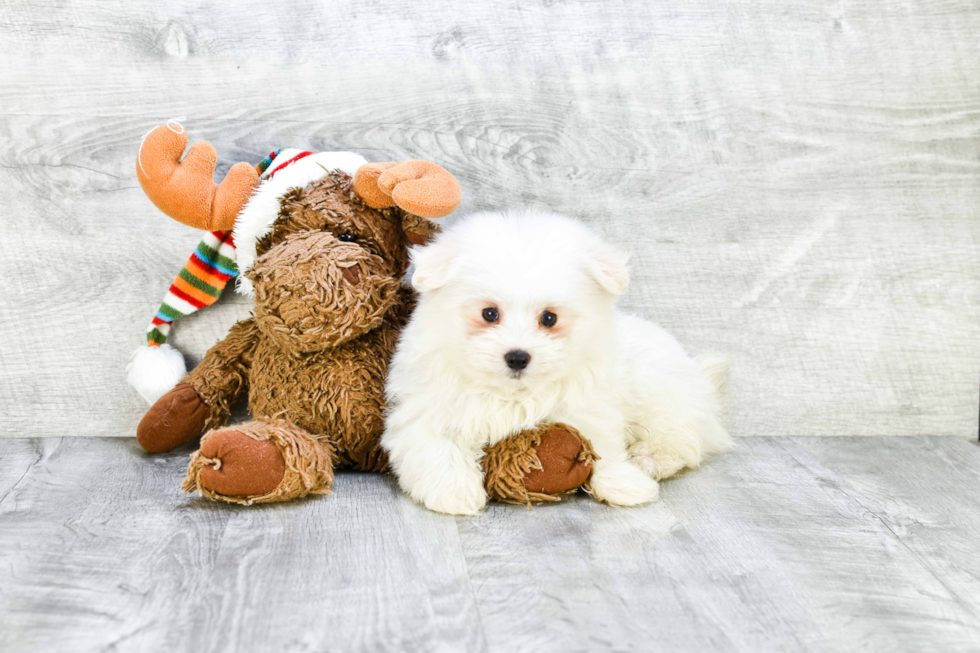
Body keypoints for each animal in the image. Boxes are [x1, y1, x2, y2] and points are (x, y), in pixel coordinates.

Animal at [380, 209, 728, 516]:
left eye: (549, 318)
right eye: (489, 313)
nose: (517, 356)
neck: (512, 393)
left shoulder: (590, 407)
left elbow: (603, 446)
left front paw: (623, 484)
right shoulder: (428, 407)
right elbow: (437, 447)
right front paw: (454, 493)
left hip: (664, 398)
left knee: (681, 443)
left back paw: (646, 461)